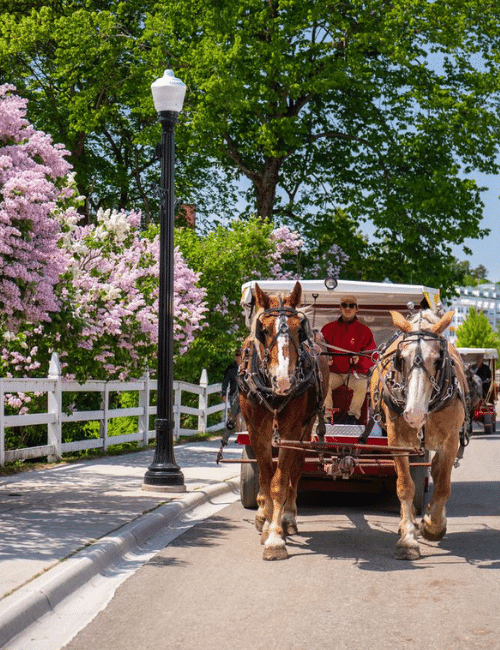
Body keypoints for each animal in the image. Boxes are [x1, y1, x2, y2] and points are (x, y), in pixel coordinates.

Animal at [239, 280, 330, 560]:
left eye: (299, 330)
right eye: (264, 330)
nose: (284, 380)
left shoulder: (291, 430)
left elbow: (280, 481)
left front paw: (276, 537)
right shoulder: (256, 430)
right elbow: (265, 477)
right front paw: (268, 522)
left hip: (306, 426)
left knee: (295, 468)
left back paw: (288, 517)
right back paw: (263, 516)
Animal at [372, 308, 468, 556]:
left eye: (437, 360)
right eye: (401, 359)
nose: (414, 414)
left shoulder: (450, 442)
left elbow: (443, 486)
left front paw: (432, 525)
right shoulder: (396, 440)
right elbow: (405, 486)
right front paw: (407, 538)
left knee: (436, 471)